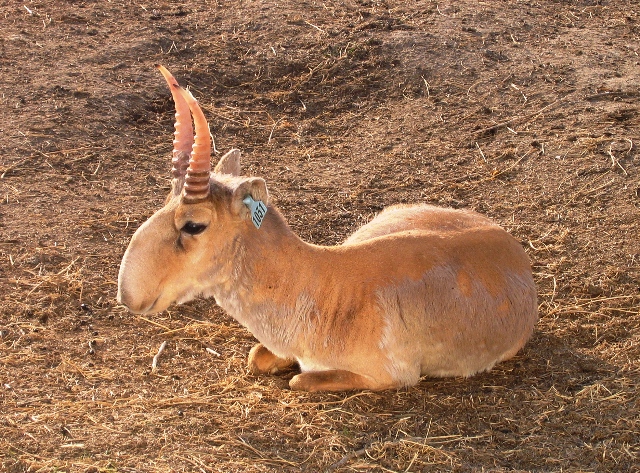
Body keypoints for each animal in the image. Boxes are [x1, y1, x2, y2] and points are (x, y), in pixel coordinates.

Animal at [117, 66, 538, 392]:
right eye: (165, 201)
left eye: (194, 224)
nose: (129, 295)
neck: (322, 283)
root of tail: (511, 246)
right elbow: (257, 356)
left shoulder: (390, 376)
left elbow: (299, 379)